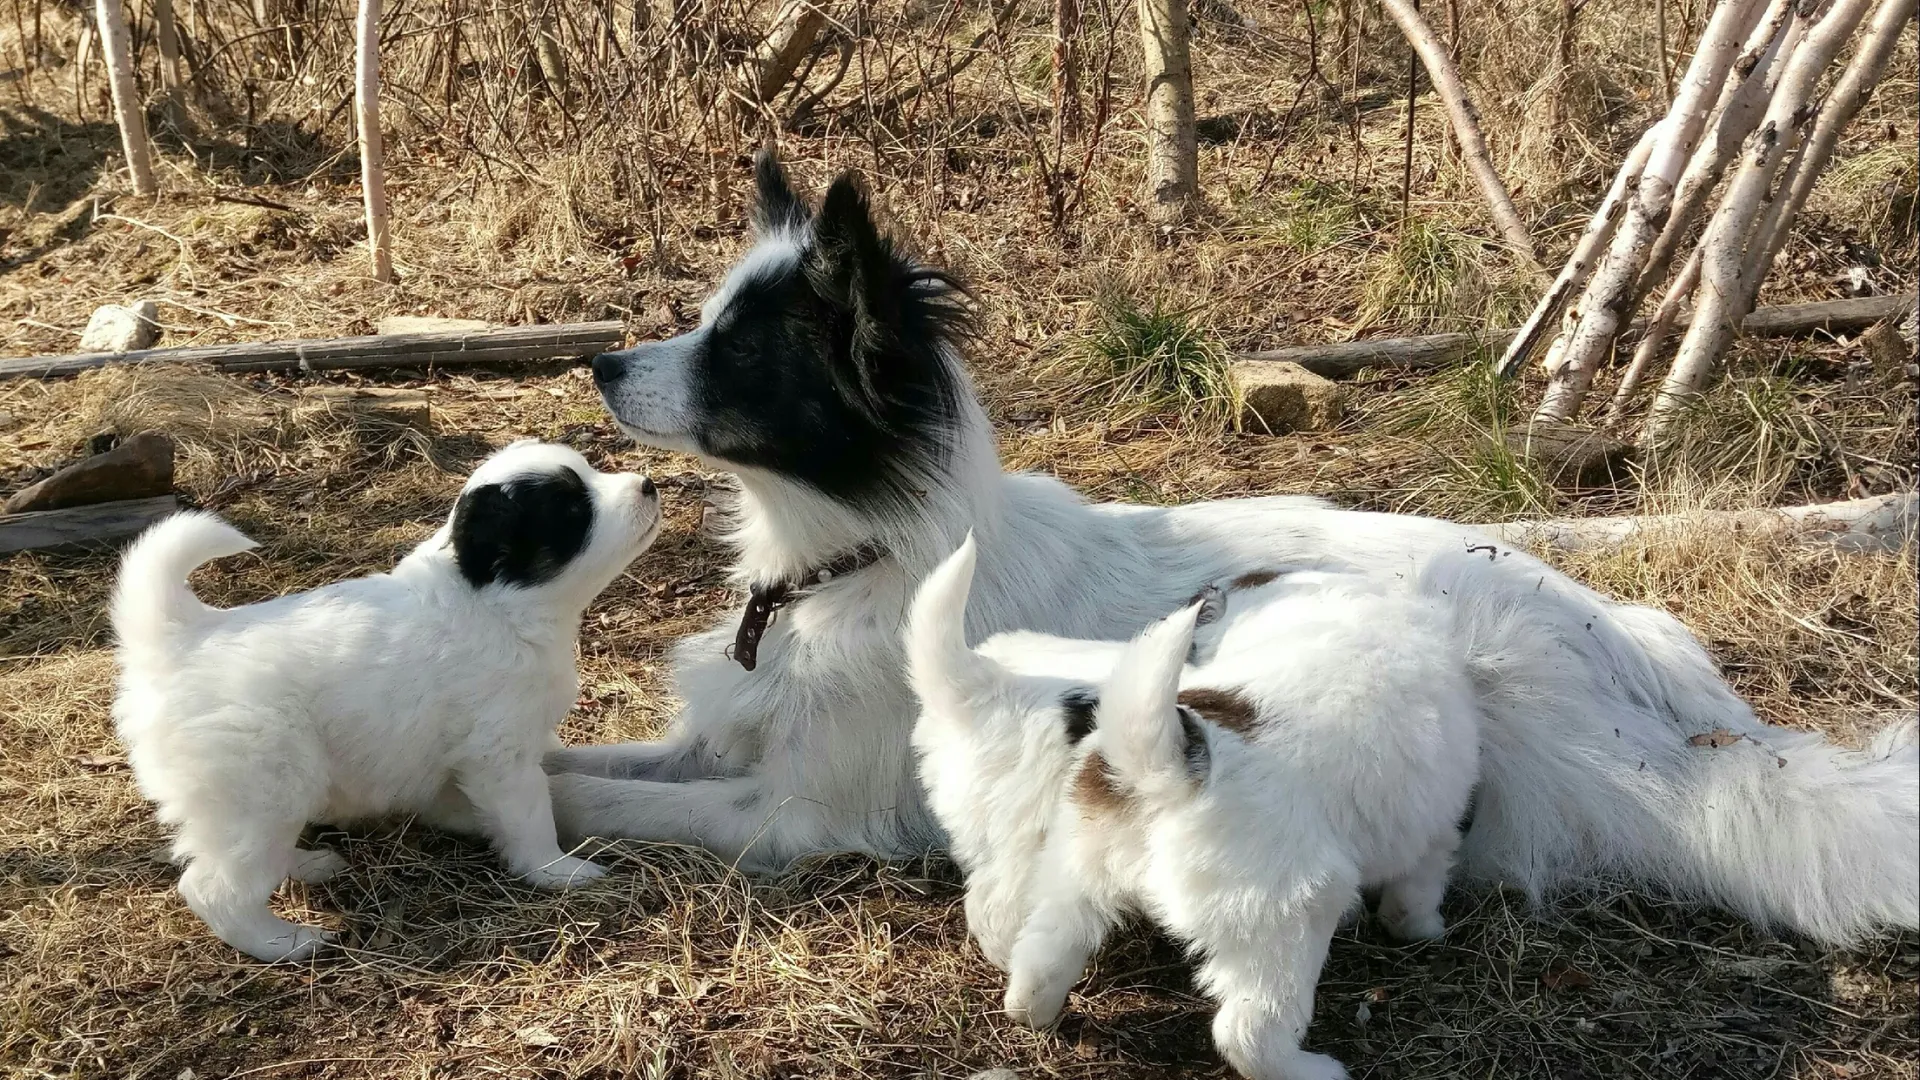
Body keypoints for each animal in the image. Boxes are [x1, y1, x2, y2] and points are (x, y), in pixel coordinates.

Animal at [110, 438, 660, 957]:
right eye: (572, 511)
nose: (648, 485)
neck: (493, 605)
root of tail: (178, 639)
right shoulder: (500, 756)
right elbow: (530, 816)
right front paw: (558, 870)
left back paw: (309, 865)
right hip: (259, 791)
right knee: (215, 888)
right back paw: (286, 942)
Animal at [545, 151, 1920, 941]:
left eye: (740, 350)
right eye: (703, 321)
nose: (598, 362)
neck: (854, 559)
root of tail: (1608, 652)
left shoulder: (795, 815)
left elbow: (607, 797)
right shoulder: (723, 741)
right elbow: (591, 757)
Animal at [906, 538, 1474, 1076]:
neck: (1329, 602)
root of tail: (1169, 769)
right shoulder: (1436, 828)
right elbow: (1418, 887)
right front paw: (1422, 929)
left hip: (1076, 869)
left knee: (1035, 960)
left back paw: (1035, 1008)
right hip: (1282, 917)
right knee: (1248, 1032)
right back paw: (1317, 1070)